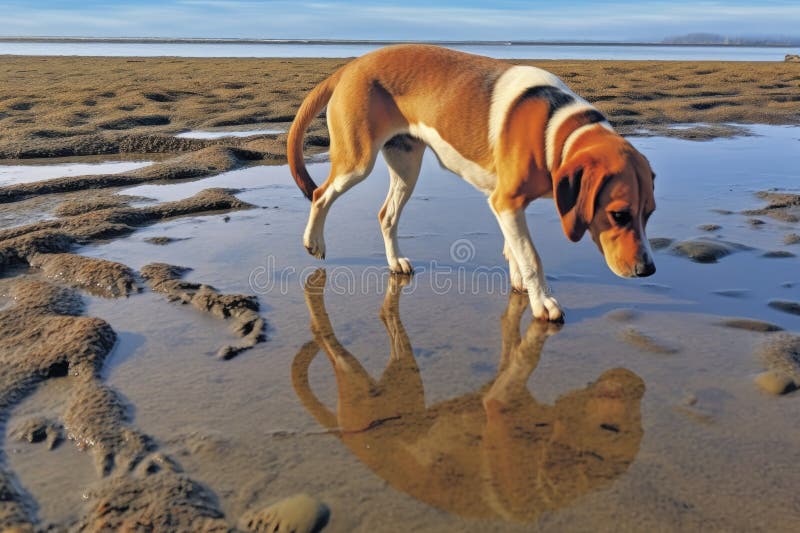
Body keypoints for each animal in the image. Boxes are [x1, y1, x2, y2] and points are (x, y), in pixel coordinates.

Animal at [288, 44, 656, 320]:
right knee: (320, 194)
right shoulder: (506, 203)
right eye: (619, 215)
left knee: (386, 215)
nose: (648, 270)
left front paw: (520, 285)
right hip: (357, 162)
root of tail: (352, 65)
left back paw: (395, 263)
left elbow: (514, 250)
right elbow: (531, 256)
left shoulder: (507, 205)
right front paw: (543, 303)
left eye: (649, 213)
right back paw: (313, 242)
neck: (556, 130)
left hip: (407, 168)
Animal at [292, 270, 644, 520]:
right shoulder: (501, 406)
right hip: (360, 384)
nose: (639, 386)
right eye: (610, 429)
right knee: (326, 339)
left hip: (406, 379)